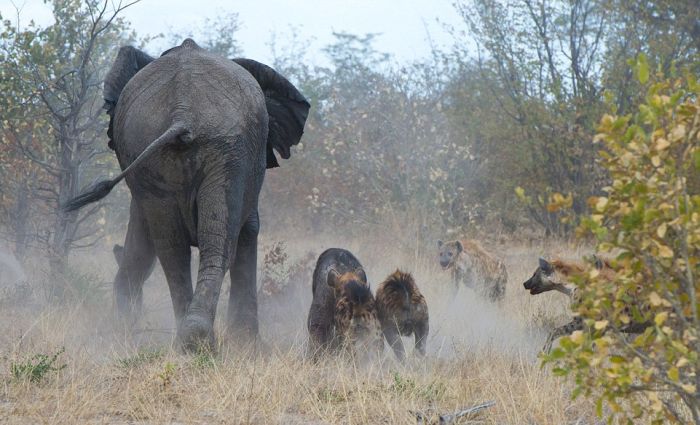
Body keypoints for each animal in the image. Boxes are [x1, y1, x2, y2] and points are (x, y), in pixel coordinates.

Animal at [63, 39, 308, 350]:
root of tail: (183, 111)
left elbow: (143, 244)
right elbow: (250, 229)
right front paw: (249, 347)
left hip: (156, 146)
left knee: (172, 247)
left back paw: (188, 341)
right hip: (228, 152)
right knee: (216, 243)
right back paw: (199, 341)